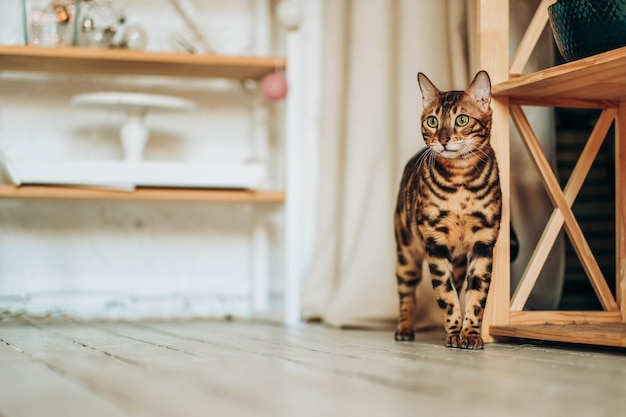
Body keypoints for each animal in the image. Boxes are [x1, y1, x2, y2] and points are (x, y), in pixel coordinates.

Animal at [392, 70, 500, 348]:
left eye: (462, 119)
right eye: (432, 121)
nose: (442, 139)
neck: (460, 182)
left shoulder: (483, 242)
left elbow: (476, 296)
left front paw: (469, 333)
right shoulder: (435, 243)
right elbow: (446, 296)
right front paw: (453, 333)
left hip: (459, 261)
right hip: (406, 252)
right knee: (407, 294)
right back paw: (405, 329)